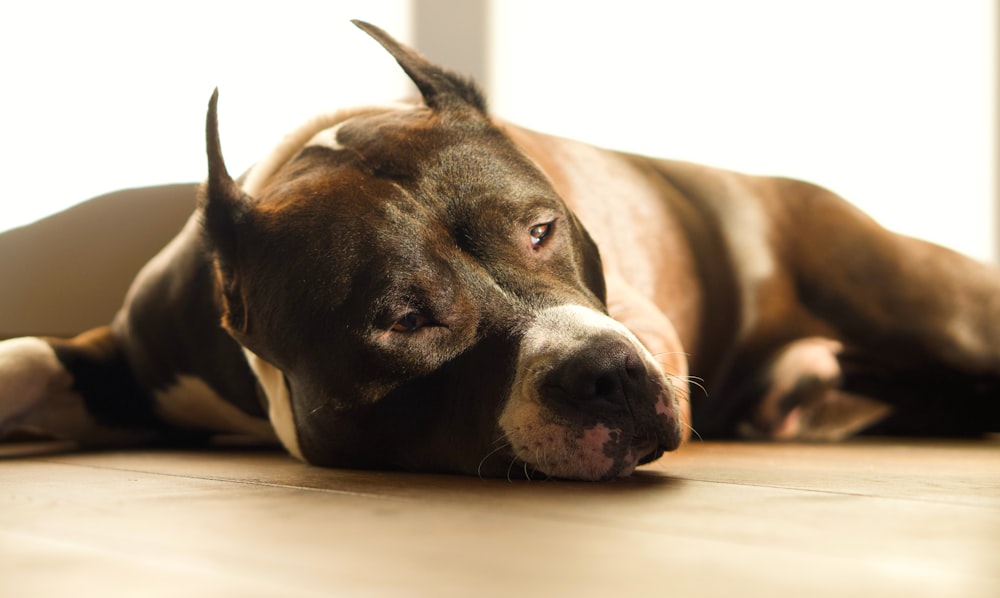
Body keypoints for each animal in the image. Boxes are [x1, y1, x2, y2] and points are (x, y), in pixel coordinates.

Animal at [0, 19, 996, 482]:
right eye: (402, 320)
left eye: (542, 229)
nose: (611, 374)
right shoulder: (133, 357)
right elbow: (27, 357)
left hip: (930, 308)